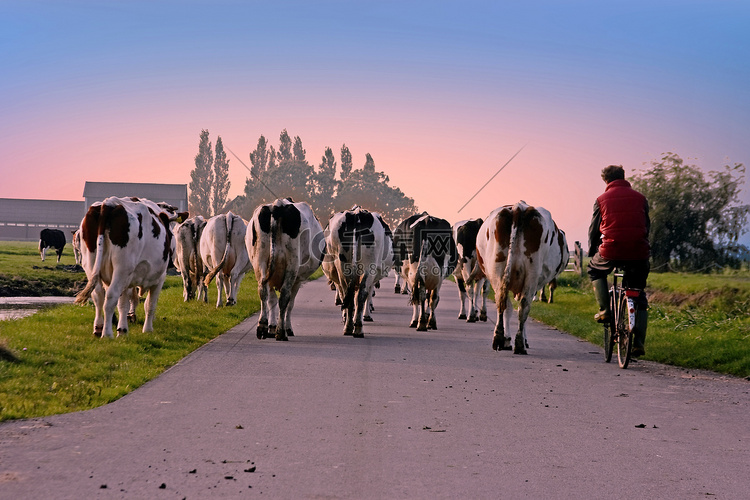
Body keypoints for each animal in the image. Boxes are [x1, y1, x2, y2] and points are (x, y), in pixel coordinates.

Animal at [74, 197, 185, 338]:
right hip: (122, 268)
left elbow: (123, 304)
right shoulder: (159, 278)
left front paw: (122, 329)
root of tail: (109, 203)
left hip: (91, 264)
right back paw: (107, 334)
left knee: (98, 295)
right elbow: (150, 304)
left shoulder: (127, 281)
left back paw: (98, 328)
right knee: (111, 296)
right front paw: (147, 329)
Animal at [247, 197, 324, 342]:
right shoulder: (297, 279)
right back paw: (281, 332)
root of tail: (278, 204)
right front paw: (286, 328)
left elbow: (271, 300)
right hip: (292, 264)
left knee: (262, 292)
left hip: (260, 261)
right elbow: (290, 303)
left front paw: (271, 328)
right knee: (284, 297)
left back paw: (262, 327)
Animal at [324, 205, 394, 338]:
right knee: (361, 294)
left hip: (342, 266)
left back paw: (349, 327)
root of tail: (357, 214)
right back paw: (358, 328)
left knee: (348, 294)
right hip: (369, 266)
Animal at [478, 201, 572, 354]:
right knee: (523, 305)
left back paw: (500, 338)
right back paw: (519, 343)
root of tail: (518, 207)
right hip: (531, 274)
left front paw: (507, 340)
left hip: (497, 271)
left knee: (503, 302)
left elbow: (509, 309)